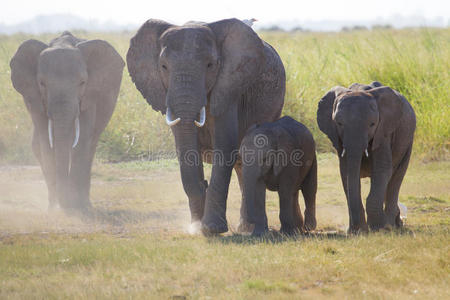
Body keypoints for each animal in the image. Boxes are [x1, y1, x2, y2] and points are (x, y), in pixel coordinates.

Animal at [10, 31, 125, 212]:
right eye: (42, 83)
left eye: (82, 82)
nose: (64, 205)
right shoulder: (35, 97)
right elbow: (46, 142)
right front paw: (55, 210)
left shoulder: (89, 96)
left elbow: (81, 141)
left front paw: (75, 209)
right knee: (37, 145)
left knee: (90, 147)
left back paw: (86, 205)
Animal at [126, 18, 284, 234]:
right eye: (163, 66)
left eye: (210, 65)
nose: (205, 185)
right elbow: (184, 150)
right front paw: (196, 227)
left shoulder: (229, 88)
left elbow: (224, 145)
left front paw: (212, 228)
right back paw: (245, 228)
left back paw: (252, 230)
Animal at [316, 81, 414, 232]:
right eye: (339, 123)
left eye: (372, 124)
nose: (356, 229)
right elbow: (346, 173)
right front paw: (357, 231)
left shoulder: (384, 132)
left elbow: (382, 170)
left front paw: (379, 229)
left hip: (408, 140)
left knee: (396, 177)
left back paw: (392, 225)